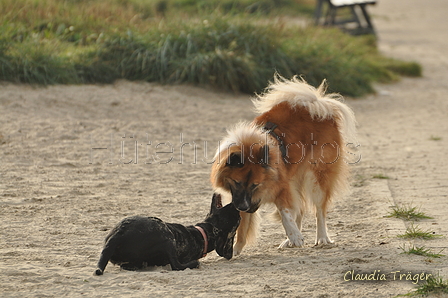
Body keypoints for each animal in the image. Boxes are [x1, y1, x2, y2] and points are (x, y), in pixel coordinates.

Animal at [94, 193, 240, 274]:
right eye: (237, 220)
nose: (237, 205)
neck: (202, 234)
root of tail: (116, 237)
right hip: (166, 235)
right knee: (176, 266)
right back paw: (194, 264)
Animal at [210, 75, 356, 255]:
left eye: (255, 184)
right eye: (237, 182)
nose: (245, 207)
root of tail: (317, 105)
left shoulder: (281, 187)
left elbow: (285, 213)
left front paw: (294, 235)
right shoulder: (240, 197)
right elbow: (243, 227)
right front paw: (236, 249)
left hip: (317, 179)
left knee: (319, 211)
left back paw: (321, 238)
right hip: (295, 180)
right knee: (300, 208)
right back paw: (291, 240)